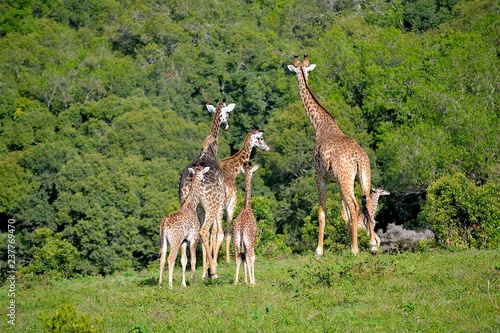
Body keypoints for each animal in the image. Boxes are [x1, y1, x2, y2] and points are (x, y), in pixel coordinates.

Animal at [179, 99, 235, 278]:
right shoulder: (218, 203)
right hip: (211, 204)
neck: (210, 149)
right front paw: (211, 269)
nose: (227, 126)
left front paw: (204, 271)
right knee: (204, 231)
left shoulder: (201, 208)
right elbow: (217, 232)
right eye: (228, 113)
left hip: (187, 202)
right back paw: (214, 273)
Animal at [288, 55, 376, 256]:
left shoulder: (319, 176)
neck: (319, 125)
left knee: (355, 206)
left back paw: (356, 250)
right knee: (366, 204)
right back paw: (373, 246)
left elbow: (322, 213)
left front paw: (319, 250)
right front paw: (349, 242)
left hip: (346, 178)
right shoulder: (336, 181)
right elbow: (345, 215)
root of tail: (359, 158)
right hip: (362, 177)